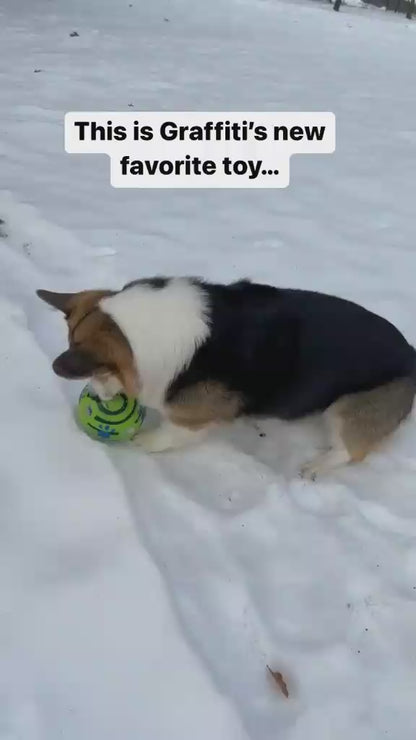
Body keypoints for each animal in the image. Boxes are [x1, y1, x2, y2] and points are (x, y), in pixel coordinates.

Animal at [37, 278, 414, 480]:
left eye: (96, 371)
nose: (97, 399)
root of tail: (410, 352)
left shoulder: (192, 419)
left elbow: (168, 435)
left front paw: (143, 441)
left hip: (345, 410)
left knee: (352, 450)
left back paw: (317, 465)